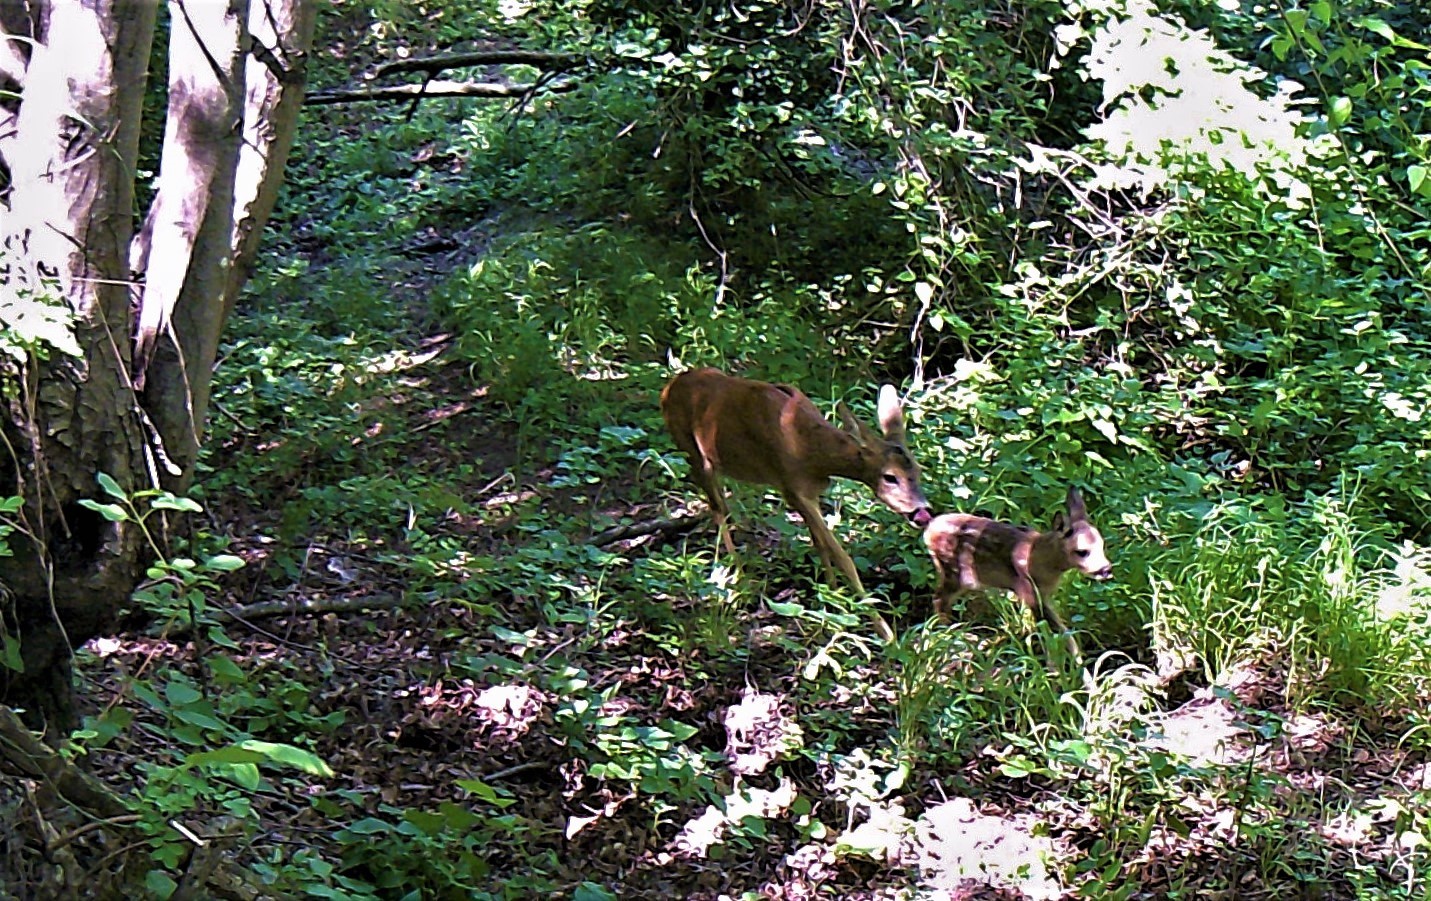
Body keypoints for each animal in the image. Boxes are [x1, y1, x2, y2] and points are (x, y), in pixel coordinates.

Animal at [655, 363, 927, 637]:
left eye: (918, 469)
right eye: (890, 477)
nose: (922, 511)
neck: (809, 450)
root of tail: (668, 388)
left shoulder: (810, 493)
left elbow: (820, 545)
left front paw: (832, 600)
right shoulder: (792, 489)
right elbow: (843, 558)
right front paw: (885, 632)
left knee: (723, 506)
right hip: (691, 451)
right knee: (716, 508)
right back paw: (740, 582)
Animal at [921, 486, 1110, 657]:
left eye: (1101, 544)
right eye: (1082, 551)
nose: (1106, 569)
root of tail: (929, 528)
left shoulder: (1044, 595)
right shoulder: (1029, 592)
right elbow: (1053, 631)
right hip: (953, 571)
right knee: (939, 599)